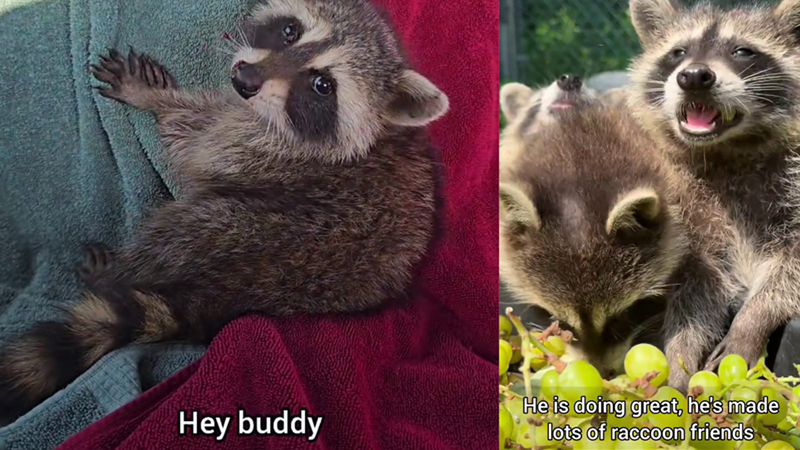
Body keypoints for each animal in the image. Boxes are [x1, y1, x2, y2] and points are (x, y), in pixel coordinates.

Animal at [0, 0, 449, 424]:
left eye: (323, 85)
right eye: (290, 31)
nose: (245, 79)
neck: (375, 136)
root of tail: (235, 296)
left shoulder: (263, 150)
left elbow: (195, 141)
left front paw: (154, 99)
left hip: (240, 234)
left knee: (177, 232)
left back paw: (116, 271)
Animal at [628, 0, 800, 372]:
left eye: (743, 51)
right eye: (678, 52)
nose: (694, 76)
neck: (723, 151)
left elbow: (788, 272)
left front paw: (751, 321)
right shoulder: (688, 216)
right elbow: (697, 291)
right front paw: (680, 354)